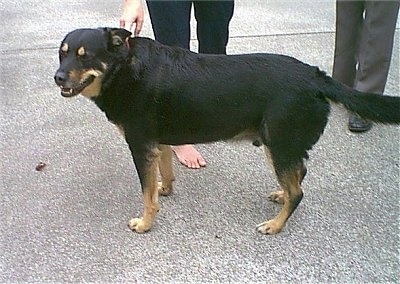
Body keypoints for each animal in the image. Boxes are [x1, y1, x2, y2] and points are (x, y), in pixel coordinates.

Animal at [54, 27, 400, 234]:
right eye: (62, 53)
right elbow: (164, 174)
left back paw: (275, 225)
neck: (125, 66)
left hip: (278, 144)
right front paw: (166, 189)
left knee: (298, 191)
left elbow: (146, 194)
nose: (57, 77)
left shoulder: (140, 145)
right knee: (298, 176)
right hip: (283, 146)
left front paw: (145, 222)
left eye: (86, 56)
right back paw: (280, 196)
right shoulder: (158, 142)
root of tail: (317, 76)